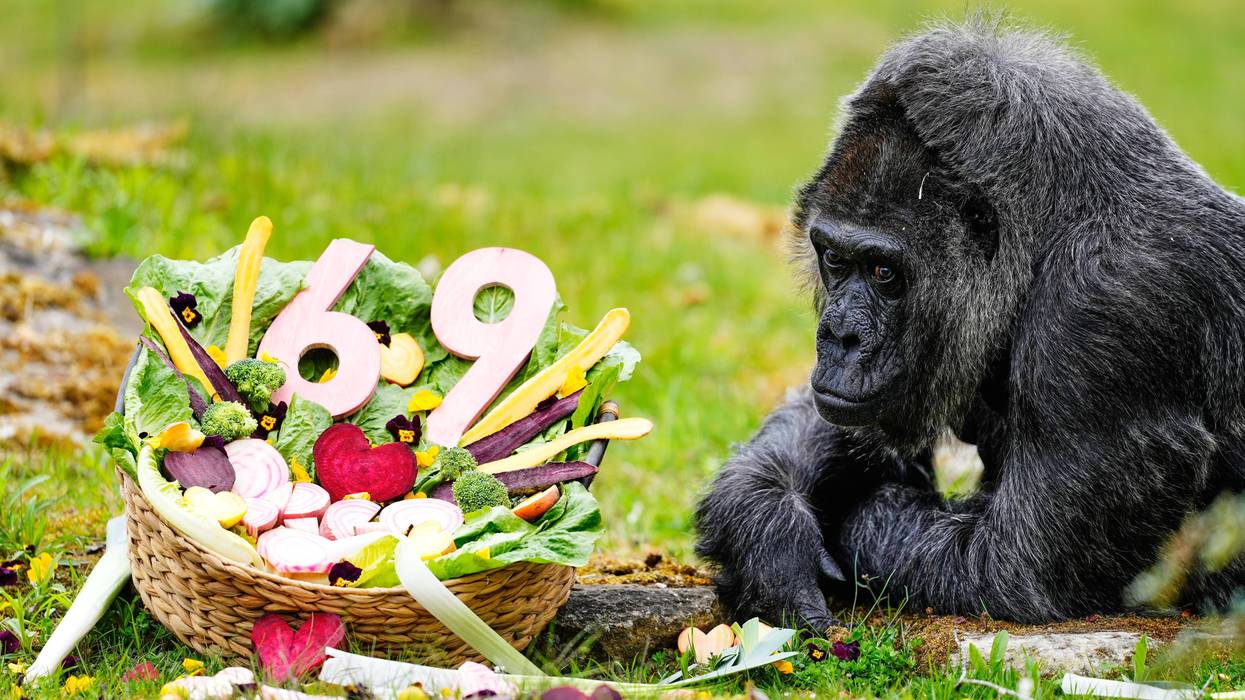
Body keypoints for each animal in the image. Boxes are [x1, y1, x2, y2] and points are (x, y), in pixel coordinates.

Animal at [694, 18, 1245, 629]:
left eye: (884, 272)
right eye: (835, 259)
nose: (839, 337)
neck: (1052, 234)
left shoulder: (1113, 309)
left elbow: (1012, 566)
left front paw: (856, 519)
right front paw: (767, 529)